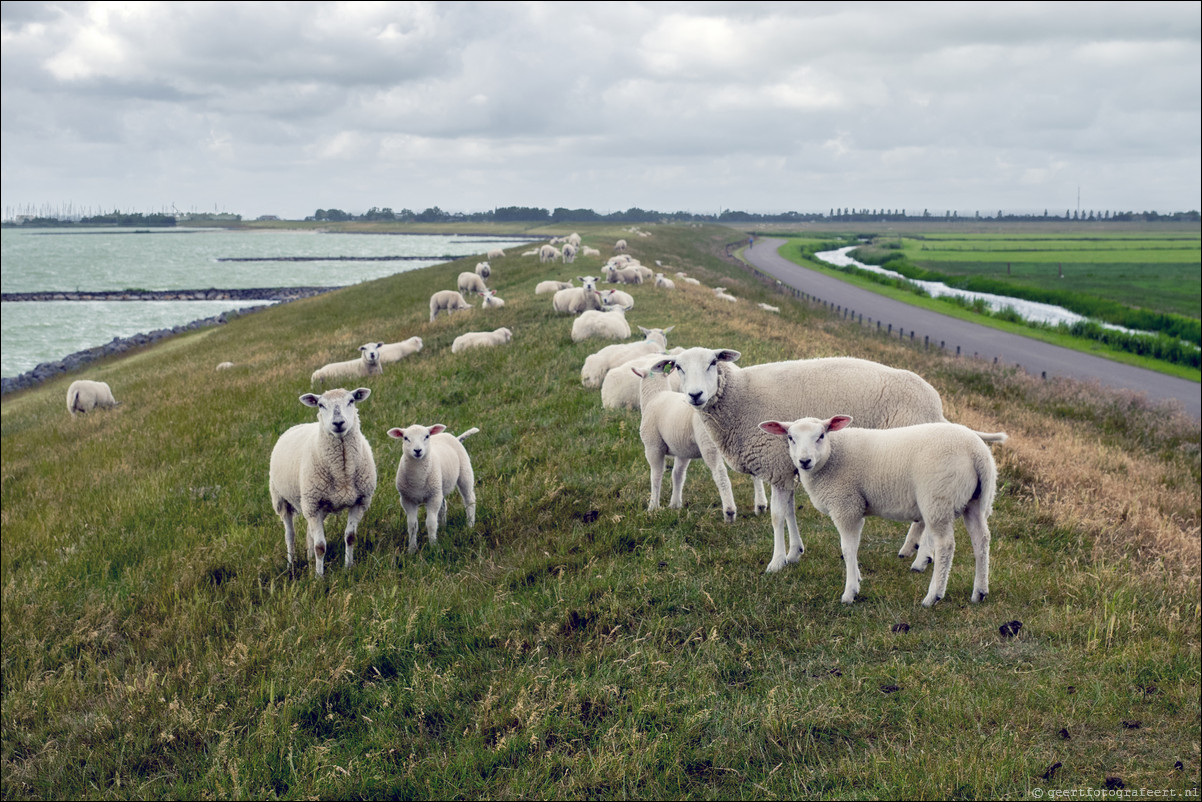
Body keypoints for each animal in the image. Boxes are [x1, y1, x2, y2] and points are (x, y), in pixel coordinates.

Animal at [270, 387, 377, 577]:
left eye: (351, 401)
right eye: (320, 405)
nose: (338, 423)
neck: (342, 473)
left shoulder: (359, 502)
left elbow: (350, 537)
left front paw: (348, 567)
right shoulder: (313, 505)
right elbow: (320, 546)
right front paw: (319, 577)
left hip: (316, 505)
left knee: (309, 534)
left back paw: (310, 559)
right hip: (283, 500)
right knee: (290, 535)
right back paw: (291, 565)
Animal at [384, 425, 478, 553]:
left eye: (427, 436)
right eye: (406, 438)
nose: (417, 450)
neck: (418, 480)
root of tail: (454, 437)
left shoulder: (433, 497)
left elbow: (431, 523)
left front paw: (433, 547)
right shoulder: (407, 499)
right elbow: (412, 525)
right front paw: (411, 550)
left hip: (465, 472)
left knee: (469, 500)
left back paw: (470, 525)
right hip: (439, 487)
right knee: (443, 505)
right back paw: (443, 527)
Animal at [634, 367, 764, 524]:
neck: (655, 395)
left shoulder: (653, 446)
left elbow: (656, 476)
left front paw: (653, 507)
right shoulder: (683, 450)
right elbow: (678, 474)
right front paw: (675, 504)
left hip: (708, 443)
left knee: (720, 473)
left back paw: (729, 512)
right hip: (746, 439)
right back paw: (761, 506)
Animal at [658, 348, 947, 574]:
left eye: (713, 362)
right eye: (679, 367)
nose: (695, 395)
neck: (740, 397)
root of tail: (936, 404)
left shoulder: (775, 464)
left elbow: (777, 516)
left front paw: (776, 563)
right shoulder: (786, 468)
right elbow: (789, 512)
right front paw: (794, 553)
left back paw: (921, 559)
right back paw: (911, 550)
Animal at [759, 418, 1004, 606]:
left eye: (820, 435)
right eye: (790, 438)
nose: (804, 461)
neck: (832, 457)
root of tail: (977, 452)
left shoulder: (846, 505)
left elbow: (847, 548)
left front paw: (850, 593)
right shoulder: (856, 507)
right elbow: (854, 547)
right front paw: (857, 578)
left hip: (938, 499)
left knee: (946, 546)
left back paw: (933, 596)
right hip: (975, 501)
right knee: (981, 540)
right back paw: (980, 592)